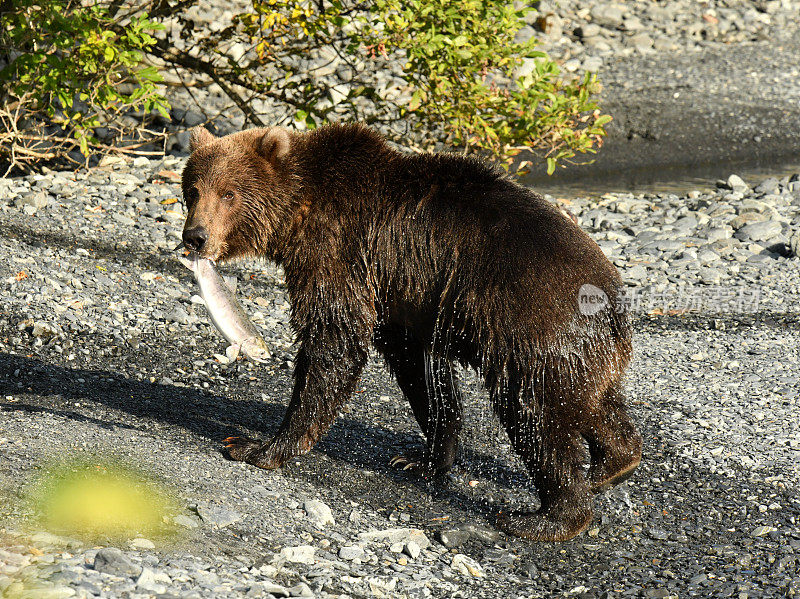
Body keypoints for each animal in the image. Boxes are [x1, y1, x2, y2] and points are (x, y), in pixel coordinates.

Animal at [181, 123, 644, 544]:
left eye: (228, 193)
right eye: (192, 189)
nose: (195, 236)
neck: (296, 213)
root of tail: (611, 297)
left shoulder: (340, 251)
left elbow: (333, 342)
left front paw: (258, 447)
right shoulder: (401, 293)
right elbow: (417, 371)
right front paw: (422, 459)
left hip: (532, 325)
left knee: (534, 415)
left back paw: (545, 518)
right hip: (578, 350)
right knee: (592, 402)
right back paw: (613, 464)